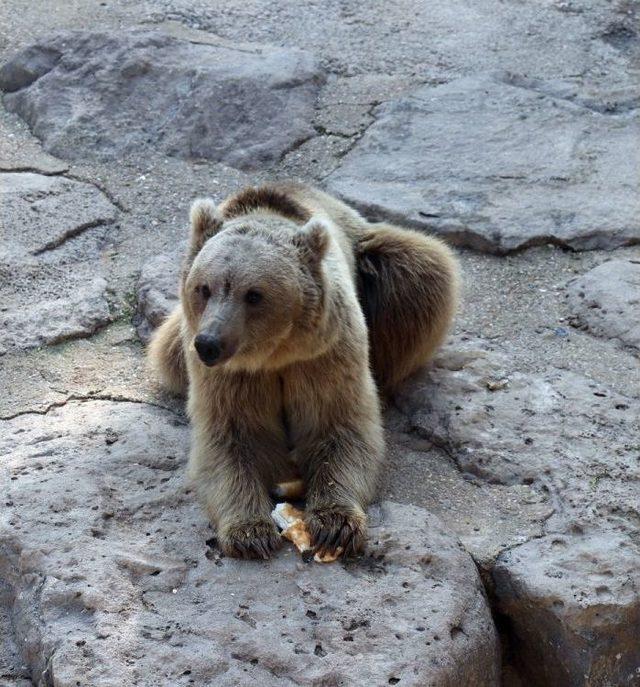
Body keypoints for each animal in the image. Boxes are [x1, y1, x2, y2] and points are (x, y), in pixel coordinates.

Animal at [150, 183, 460, 560]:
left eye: (254, 294)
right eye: (204, 288)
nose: (209, 343)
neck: (274, 356)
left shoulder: (324, 354)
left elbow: (337, 425)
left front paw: (335, 524)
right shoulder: (231, 376)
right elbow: (232, 436)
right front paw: (250, 531)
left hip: (371, 258)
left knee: (424, 272)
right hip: (177, 343)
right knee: (167, 355)